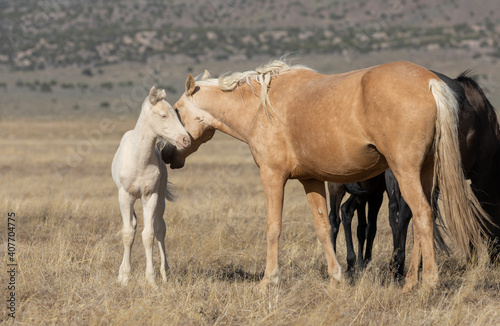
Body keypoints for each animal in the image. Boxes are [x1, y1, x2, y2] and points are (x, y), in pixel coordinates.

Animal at [111, 86, 189, 286]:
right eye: (163, 115)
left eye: (176, 113)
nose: (186, 139)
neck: (140, 160)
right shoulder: (125, 196)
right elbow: (128, 233)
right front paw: (124, 277)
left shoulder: (150, 196)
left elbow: (149, 235)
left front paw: (152, 279)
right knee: (133, 225)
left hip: (160, 198)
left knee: (160, 228)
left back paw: (165, 272)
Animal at [162, 61, 490, 292]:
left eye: (176, 110)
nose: (165, 154)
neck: (260, 108)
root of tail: (431, 83)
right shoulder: (312, 181)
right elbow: (323, 228)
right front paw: (336, 278)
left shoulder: (272, 177)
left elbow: (273, 228)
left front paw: (269, 280)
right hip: (424, 174)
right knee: (424, 219)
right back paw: (411, 281)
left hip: (405, 172)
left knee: (421, 215)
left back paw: (427, 283)